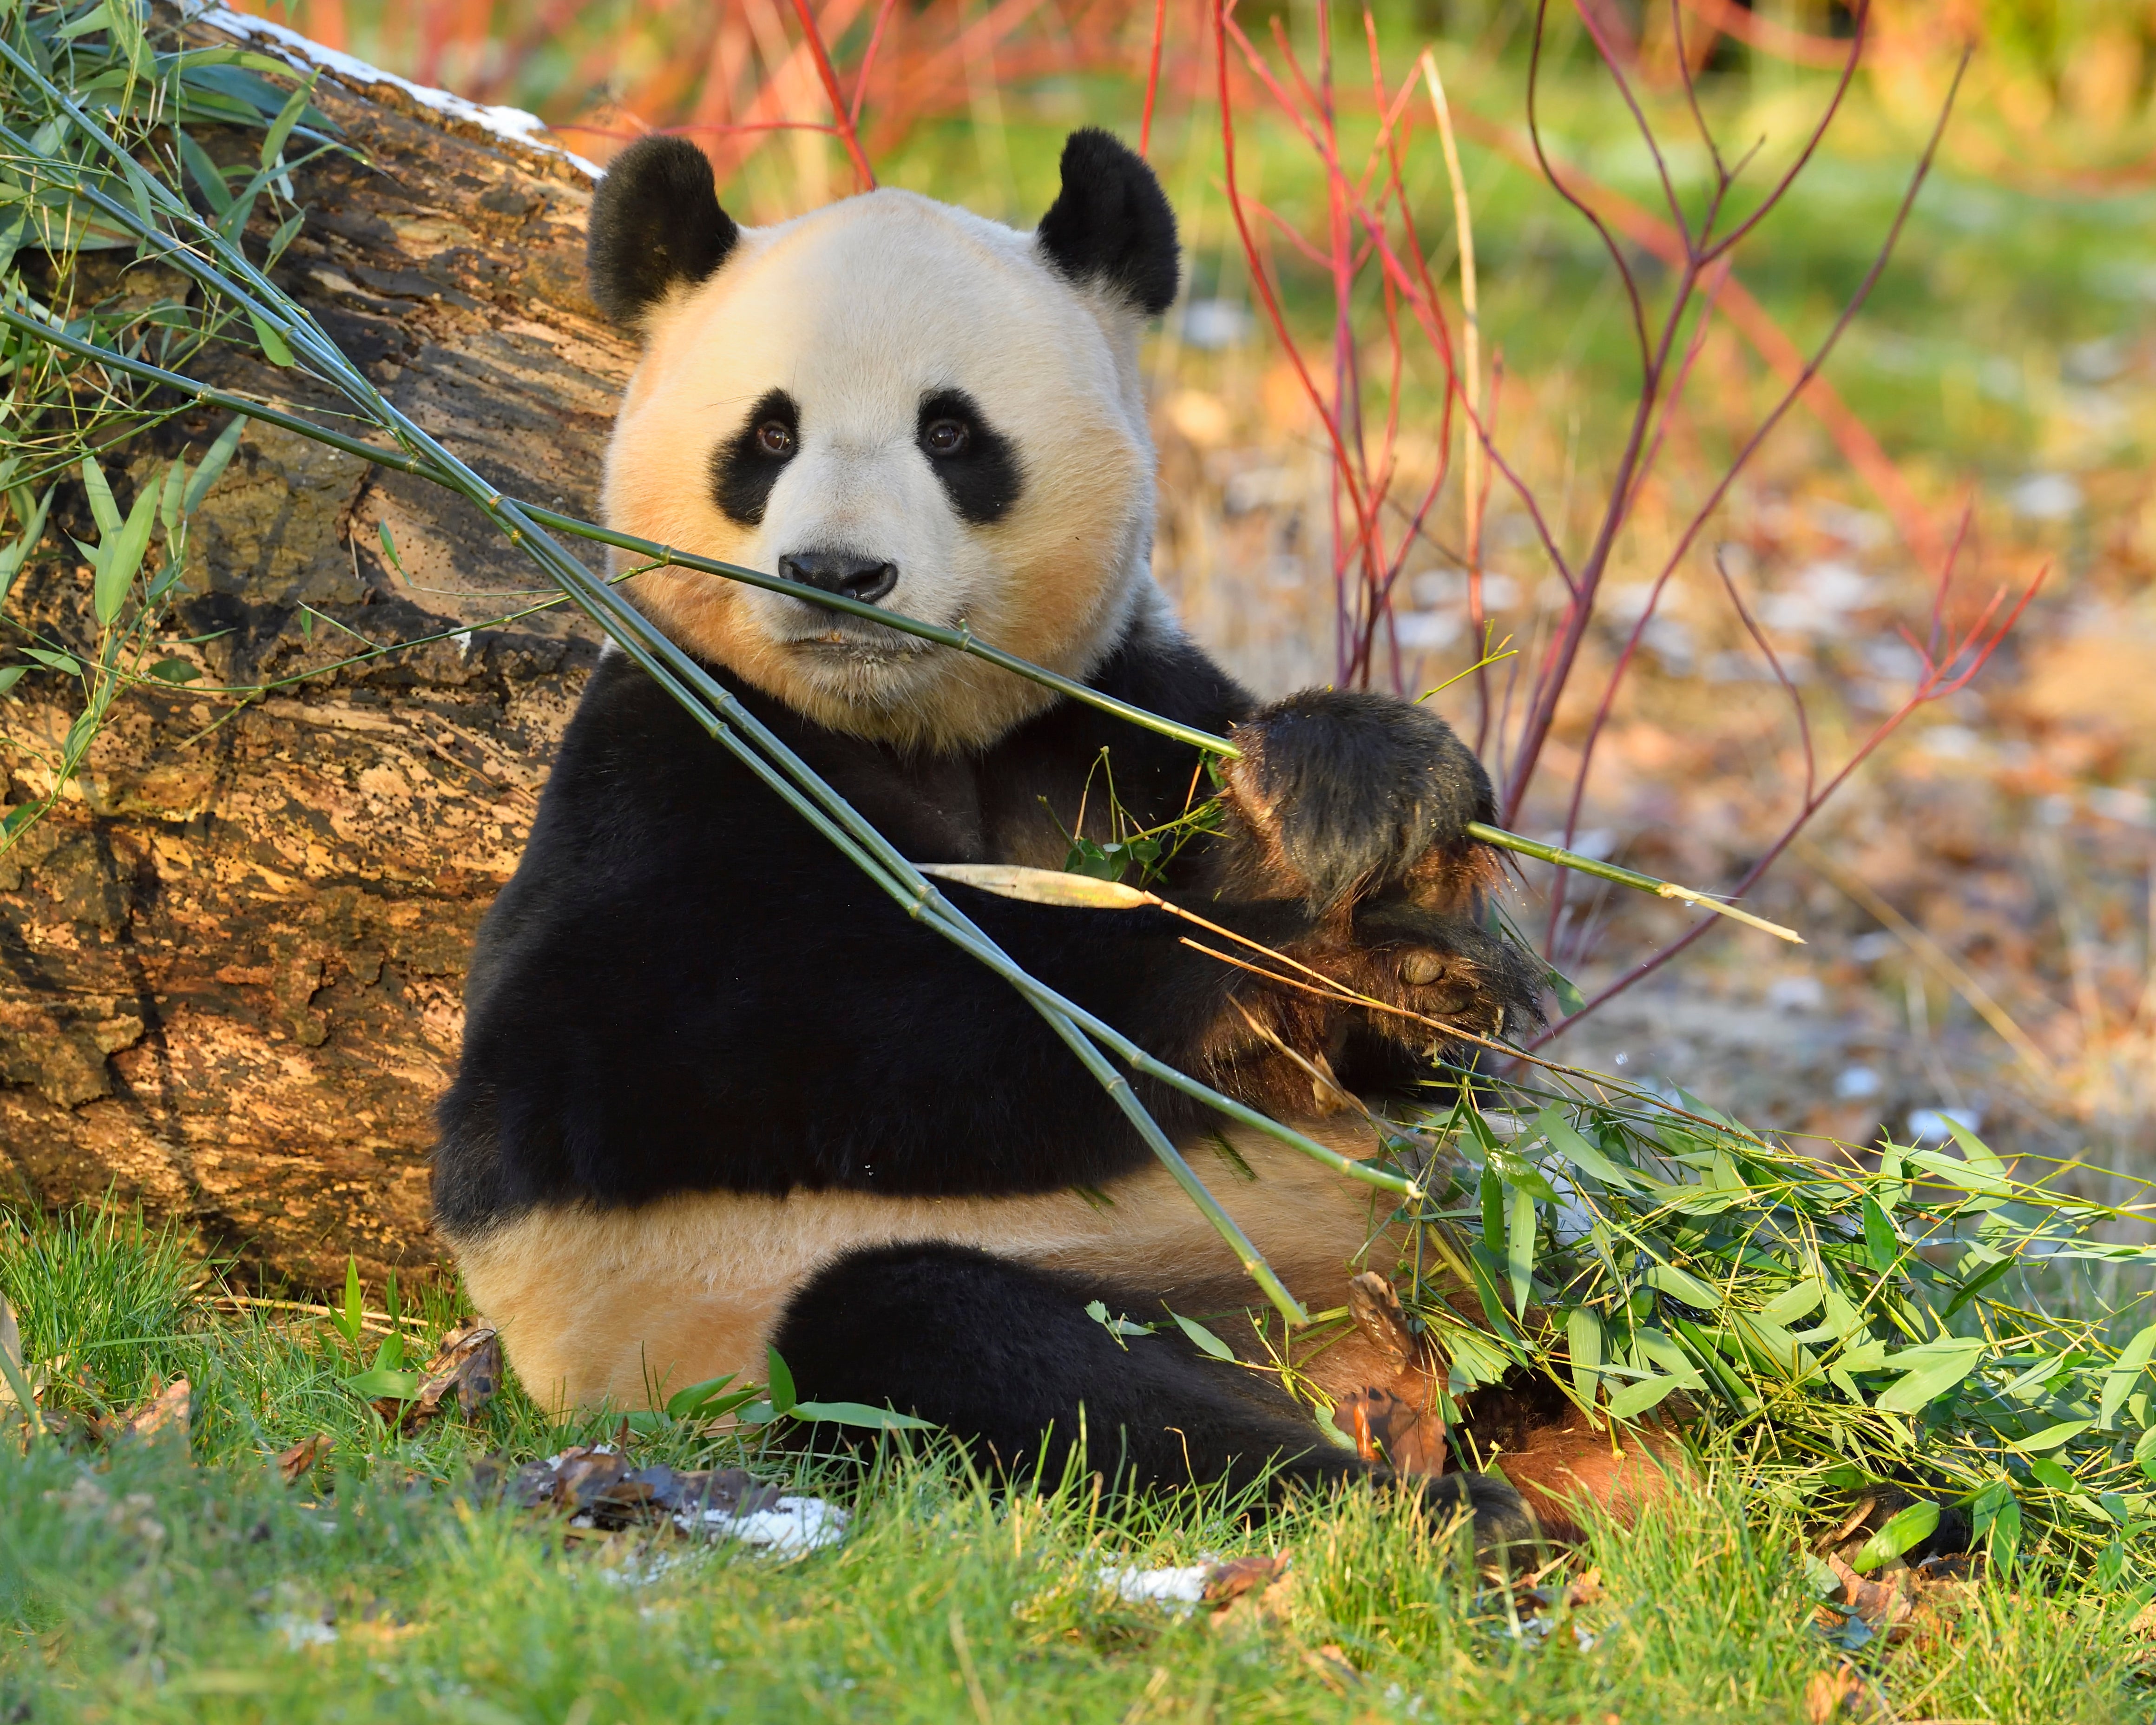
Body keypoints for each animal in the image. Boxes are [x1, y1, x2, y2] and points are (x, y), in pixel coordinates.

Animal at [437, 124, 1673, 1552]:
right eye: (768, 436)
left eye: (951, 432)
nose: (837, 576)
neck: (914, 727)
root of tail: (1382, 1368)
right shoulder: (667, 753)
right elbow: (674, 1046)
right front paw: (1297, 961)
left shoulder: (1116, 717)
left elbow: (1401, 1029)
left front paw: (1368, 818)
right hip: (817, 1323)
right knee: (985, 1355)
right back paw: (1434, 1510)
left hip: (1505, 1278)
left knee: (1659, 1305)